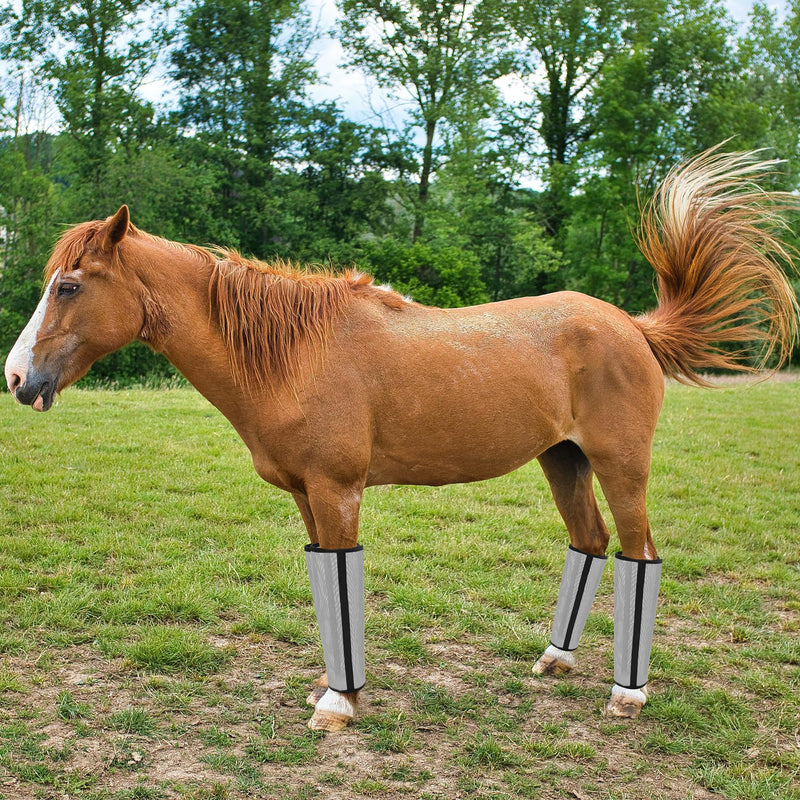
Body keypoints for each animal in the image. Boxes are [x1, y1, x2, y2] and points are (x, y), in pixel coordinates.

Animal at [5, 148, 799, 732]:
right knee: (590, 542)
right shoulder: (307, 498)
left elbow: (344, 579)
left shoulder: (338, 492)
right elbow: (328, 589)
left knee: (640, 554)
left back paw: (627, 695)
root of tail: (631, 325)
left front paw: (340, 704)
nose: (16, 377)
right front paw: (333, 688)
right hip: (564, 462)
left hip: (620, 466)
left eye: (70, 285)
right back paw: (555, 661)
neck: (296, 353)